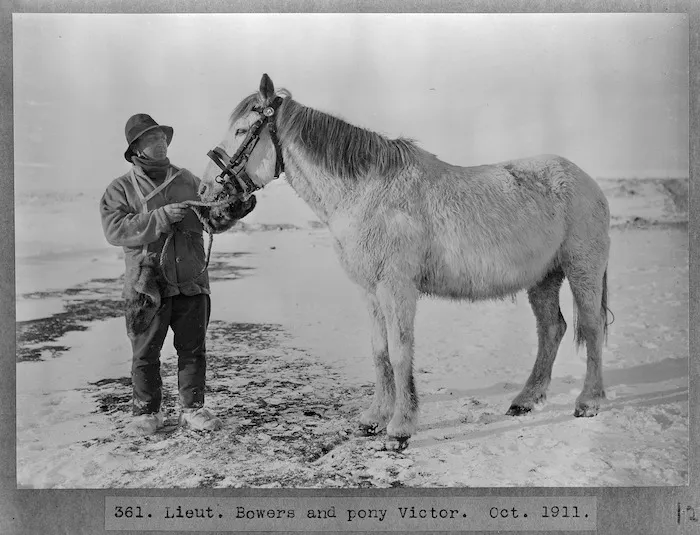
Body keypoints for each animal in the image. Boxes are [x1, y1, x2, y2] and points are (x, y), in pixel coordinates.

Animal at [199, 74, 611, 451]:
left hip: (582, 270)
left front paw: (400, 427)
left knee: (590, 328)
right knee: (551, 330)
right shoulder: (370, 291)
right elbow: (379, 352)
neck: (367, 193)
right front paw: (374, 418)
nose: (207, 197)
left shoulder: (396, 288)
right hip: (544, 278)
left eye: (240, 130)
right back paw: (526, 400)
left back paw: (588, 402)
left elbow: (399, 353)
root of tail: (587, 181)